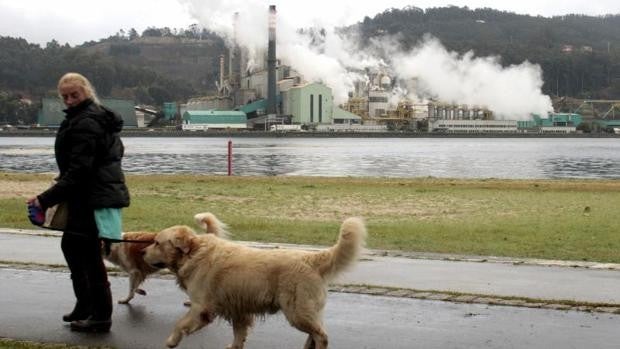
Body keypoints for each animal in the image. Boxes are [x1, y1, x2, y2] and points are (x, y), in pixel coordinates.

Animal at [143, 212, 366, 348]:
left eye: (157, 242)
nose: (143, 251)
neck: (193, 253)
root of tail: (311, 258)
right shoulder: (238, 310)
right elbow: (238, 335)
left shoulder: (201, 307)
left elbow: (180, 324)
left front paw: (171, 341)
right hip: (307, 311)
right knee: (315, 333)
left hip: (297, 311)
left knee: (321, 336)